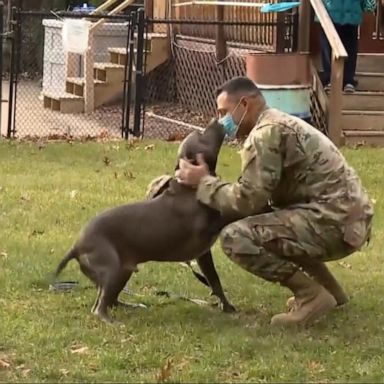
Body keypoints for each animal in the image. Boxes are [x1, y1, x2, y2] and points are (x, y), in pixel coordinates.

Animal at [52, 118, 236, 322]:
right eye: (202, 135)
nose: (215, 120)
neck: (188, 185)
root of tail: (76, 246)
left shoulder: (203, 254)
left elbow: (214, 281)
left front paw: (226, 306)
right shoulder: (212, 226)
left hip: (123, 271)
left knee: (111, 300)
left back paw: (131, 306)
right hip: (111, 268)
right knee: (99, 306)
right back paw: (111, 321)